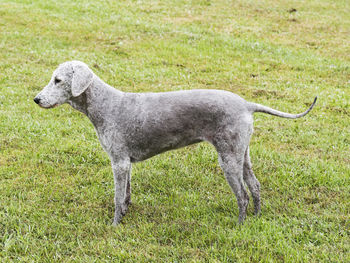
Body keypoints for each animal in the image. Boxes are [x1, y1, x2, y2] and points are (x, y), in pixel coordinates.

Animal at [33, 60, 318, 226]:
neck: (105, 105)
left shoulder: (119, 162)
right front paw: (125, 215)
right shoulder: (126, 164)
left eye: (58, 80)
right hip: (241, 152)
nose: (36, 99)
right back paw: (256, 220)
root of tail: (247, 104)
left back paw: (239, 226)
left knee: (243, 195)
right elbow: (126, 195)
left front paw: (114, 226)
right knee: (256, 187)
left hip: (228, 158)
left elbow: (116, 197)